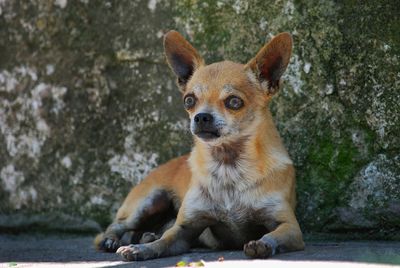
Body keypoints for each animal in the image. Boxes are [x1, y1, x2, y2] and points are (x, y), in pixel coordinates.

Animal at [95, 30, 304, 260]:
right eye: (189, 100)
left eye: (234, 102)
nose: (201, 116)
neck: (227, 165)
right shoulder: (184, 229)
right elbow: (164, 240)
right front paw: (141, 250)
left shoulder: (289, 226)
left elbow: (273, 235)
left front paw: (262, 243)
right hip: (147, 202)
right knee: (118, 225)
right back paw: (114, 240)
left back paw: (145, 236)